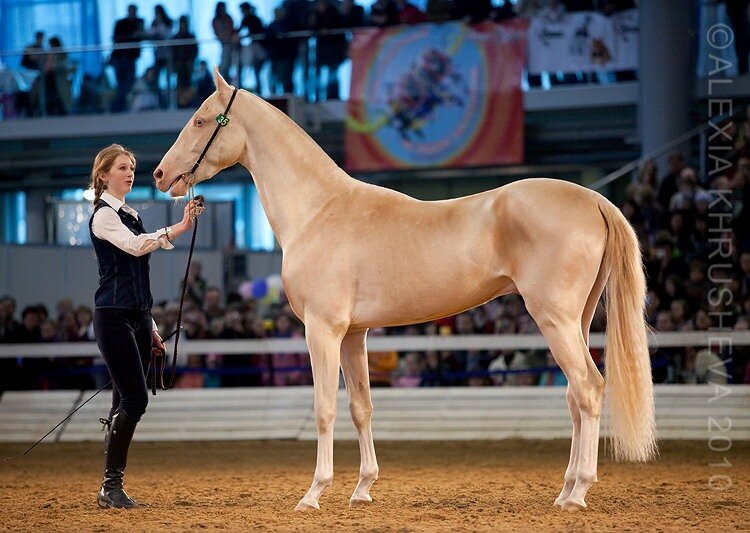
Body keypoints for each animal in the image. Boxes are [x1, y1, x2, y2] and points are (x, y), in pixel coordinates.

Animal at [154, 67, 656, 512]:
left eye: (200, 120)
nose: (159, 175)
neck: (319, 211)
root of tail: (594, 198)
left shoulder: (322, 330)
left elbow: (324, 408)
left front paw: (313, 494)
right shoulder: (353, 335)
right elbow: (361, 407)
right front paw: (362, 490)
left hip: (554, 319)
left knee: (588, 388)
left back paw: (578, 492)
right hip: (577, 320)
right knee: (574, 397)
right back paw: (565, 488)